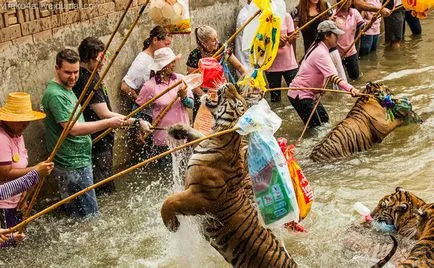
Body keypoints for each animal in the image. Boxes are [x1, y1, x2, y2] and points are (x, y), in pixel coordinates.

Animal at [160, 82, 298, 266]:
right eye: (237, 97)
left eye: (237, 102)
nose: (230, 84)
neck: (220, 138)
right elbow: (198, 134)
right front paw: (177, 129)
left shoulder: (201, 196)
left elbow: (169, 201)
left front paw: (172, 225)